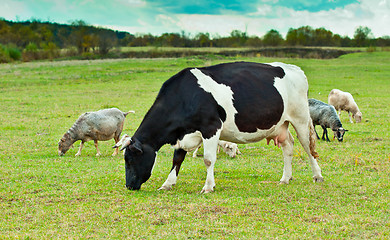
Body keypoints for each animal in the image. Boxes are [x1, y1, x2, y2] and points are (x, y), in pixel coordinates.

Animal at [125, 61, 322, 193]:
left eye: (131, 160)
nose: (129, 186)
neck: (185, 96)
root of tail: (294, 68)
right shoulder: (183, 134)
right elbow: (177, 159)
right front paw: (167, 183)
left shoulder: (211, 128)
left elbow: (208, 159)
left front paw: (208, 186)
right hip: (280, 125)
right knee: (288, 146)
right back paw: (285, 178)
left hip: (301, 119)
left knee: (308, 148)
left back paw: (317, 175)